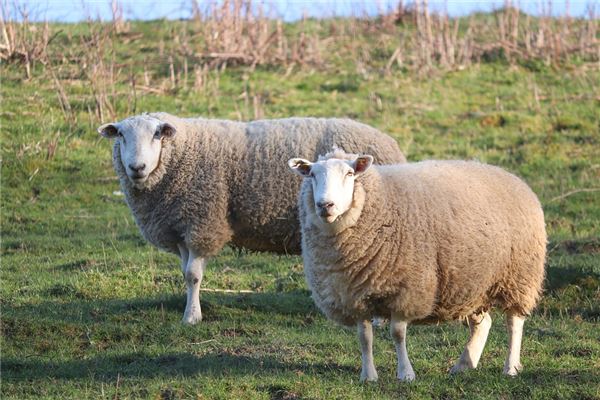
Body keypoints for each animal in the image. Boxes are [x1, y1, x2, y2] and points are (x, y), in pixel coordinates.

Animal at [99, 111, 408, 324]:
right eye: (121, 136)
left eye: (157, 135)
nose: (136, 167)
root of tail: (391, 144)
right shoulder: (182, 226)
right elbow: (186, 274)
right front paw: (190, 309)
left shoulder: (203, 222)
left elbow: (194, 275)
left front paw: (192, 317)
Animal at [288, 149, 548, 382]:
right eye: (312, 174)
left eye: (350, 173)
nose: (325, 205)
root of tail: (510, 175)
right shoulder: (354, 295)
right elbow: (364, 337)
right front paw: (368, 376)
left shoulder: (406, 289)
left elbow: (397, 333)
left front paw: (406, 374)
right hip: (473, 282)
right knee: (483, 323)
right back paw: (465, 364)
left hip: (519, 275)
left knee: (514, 322)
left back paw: (511, 367)